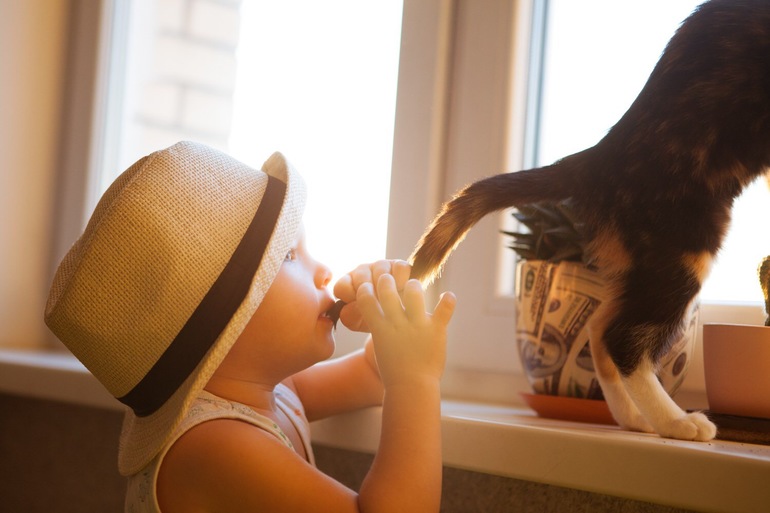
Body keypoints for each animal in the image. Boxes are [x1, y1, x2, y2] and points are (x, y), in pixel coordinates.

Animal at [409, 0, 770, 441]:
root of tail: (602, 153)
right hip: (684, 243)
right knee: (621, 338)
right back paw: (676, 422)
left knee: (598, 329)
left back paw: (633, 418)